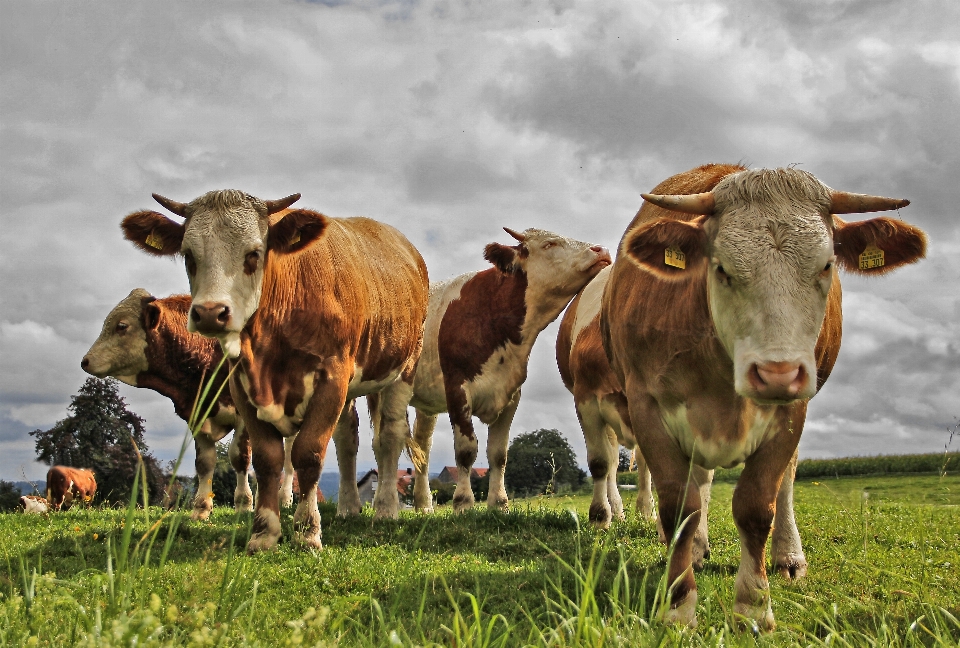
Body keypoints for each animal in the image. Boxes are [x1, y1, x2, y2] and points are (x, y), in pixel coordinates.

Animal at [82, 290, 256, 520]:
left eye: (122, 326)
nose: (85, 361)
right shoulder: (197, 416)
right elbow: (204, 462)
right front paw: (200, 508)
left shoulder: (244, 414)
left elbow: (239, 457)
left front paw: (244, 505)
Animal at [121, 189, 428, 552]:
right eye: (188, 254)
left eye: (254, 253)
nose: (210, 313)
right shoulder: (241, 385)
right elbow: (268, 459)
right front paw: (264, 532)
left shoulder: (332, 376)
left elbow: (308, 453)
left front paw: (307, 531)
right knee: (347, 437)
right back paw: (349, 506)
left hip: (403, 366)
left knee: (390, 435)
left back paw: (384, 509)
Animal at [368, 227, 608, 512]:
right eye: (549, 244)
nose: (601, 250)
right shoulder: (457, 389)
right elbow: (466, 450)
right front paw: (463, 503)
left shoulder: (511, 394)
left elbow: (499, 454)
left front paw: (499, 503)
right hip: (378, 391)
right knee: (380, 443)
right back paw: (377, 502)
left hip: (425, 402)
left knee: (422, 446)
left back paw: (424, 505)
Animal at [604, 165, 928, 632]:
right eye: (721, 268)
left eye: (827, 265)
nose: (778, 373)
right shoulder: (646, 404)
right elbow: (681, 507)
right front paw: (679, 604)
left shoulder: (792, 411)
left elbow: (757, 506)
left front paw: (754, 605)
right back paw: (698, 551)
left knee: (785, 482)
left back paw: (788, 557)